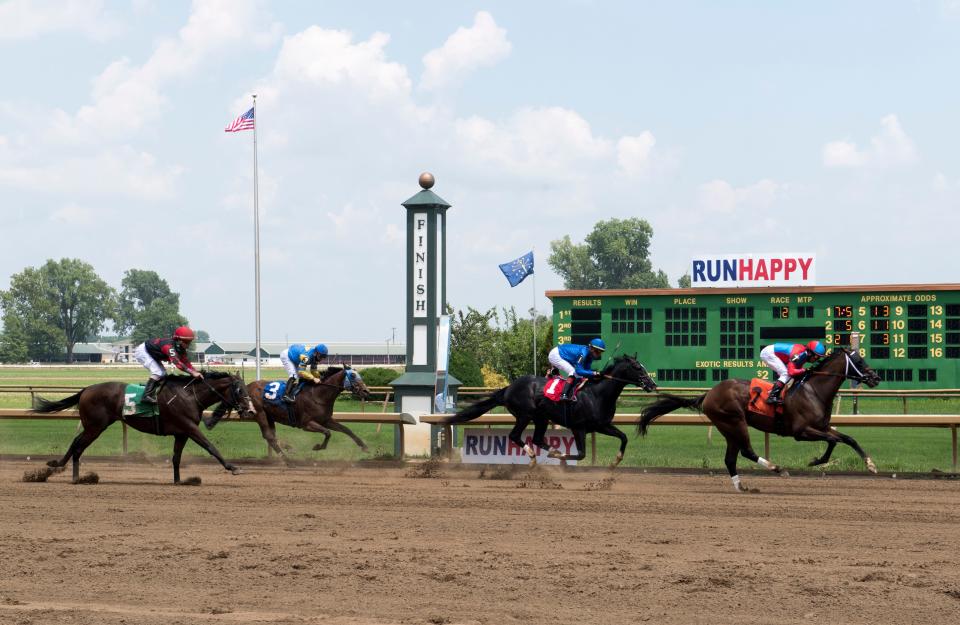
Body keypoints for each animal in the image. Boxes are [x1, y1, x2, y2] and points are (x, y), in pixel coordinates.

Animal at [32, 370, 253, 482]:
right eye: (240, 390)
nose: (250, 410)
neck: (189, 395)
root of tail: (86, 390)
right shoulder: (190, 427)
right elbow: (210, 446)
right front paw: (233, 467)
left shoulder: (181, 433)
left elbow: (176, 458)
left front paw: (178, 480)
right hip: (95, 426)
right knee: (78, 445)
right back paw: (74, 476)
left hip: (94, 426)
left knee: (76, 443)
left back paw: (62, 467)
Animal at [206, 366, 372, 458]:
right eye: (353, 375)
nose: (366, 391)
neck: (318, 395)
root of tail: (246, 386)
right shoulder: (306, 424)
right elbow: (327, 433)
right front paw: (318, 447)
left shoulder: (326, 420)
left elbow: (346, 429)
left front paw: (364, 446)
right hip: (260, 413)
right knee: (269, 436)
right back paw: (286, 454)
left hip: (270, 416)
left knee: (271, 436)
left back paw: (288, 448)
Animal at [444, 356, 656, 464]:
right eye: (638, 367)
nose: (652, 384)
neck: (597, 394)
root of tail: (509, 388)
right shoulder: (578, 427)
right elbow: (581, 454)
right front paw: (561, 456)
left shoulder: (601, 425)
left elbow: (624, 437)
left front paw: (617, 459)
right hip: (525, 415)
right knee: (515, 436)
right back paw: (533, 454)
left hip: (541, 418)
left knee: (537, 439)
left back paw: (549, 450)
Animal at [640, 348, 880, 490]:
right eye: (859, 360)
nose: (876, 377)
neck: (814, 391)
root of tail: (709, 393)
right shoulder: (801, 432)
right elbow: (833, 440)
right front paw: (816, 461)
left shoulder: (823, 426)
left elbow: (848, 439)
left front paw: (871, 464)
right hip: (735, 422)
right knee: (746, 451)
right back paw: (778, 469)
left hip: (728, 428)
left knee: (730, 459)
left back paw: (741, 486)